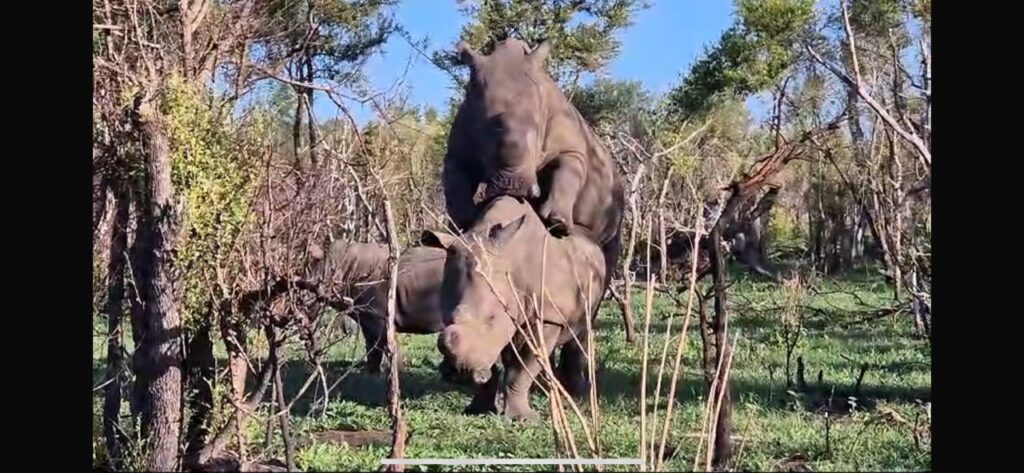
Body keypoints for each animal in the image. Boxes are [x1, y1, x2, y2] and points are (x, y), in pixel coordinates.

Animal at [422, 196, 607, 421]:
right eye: (446, 319)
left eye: (491, 318)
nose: (460, 372)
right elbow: (496, 359)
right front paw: (477, 410)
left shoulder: (547, 316)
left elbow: (522, 368)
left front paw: (523, 419)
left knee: (581, 330)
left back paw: (575, 393)